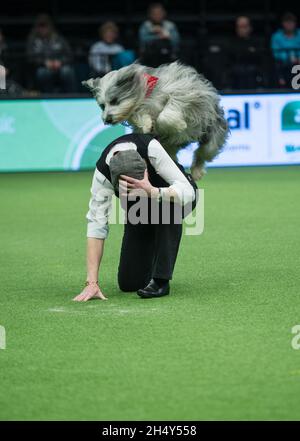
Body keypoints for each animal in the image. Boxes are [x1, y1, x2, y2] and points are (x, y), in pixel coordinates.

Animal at [82, 61, 227, 180]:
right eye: (102, 106)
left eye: (114, 101)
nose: (108, 119)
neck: (148, 95)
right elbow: (141, 118)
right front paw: (147, 125)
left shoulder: (184, 91)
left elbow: (167, 112)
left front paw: (179, 125)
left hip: (211, 136)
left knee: (202, 153)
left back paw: (197, 171)